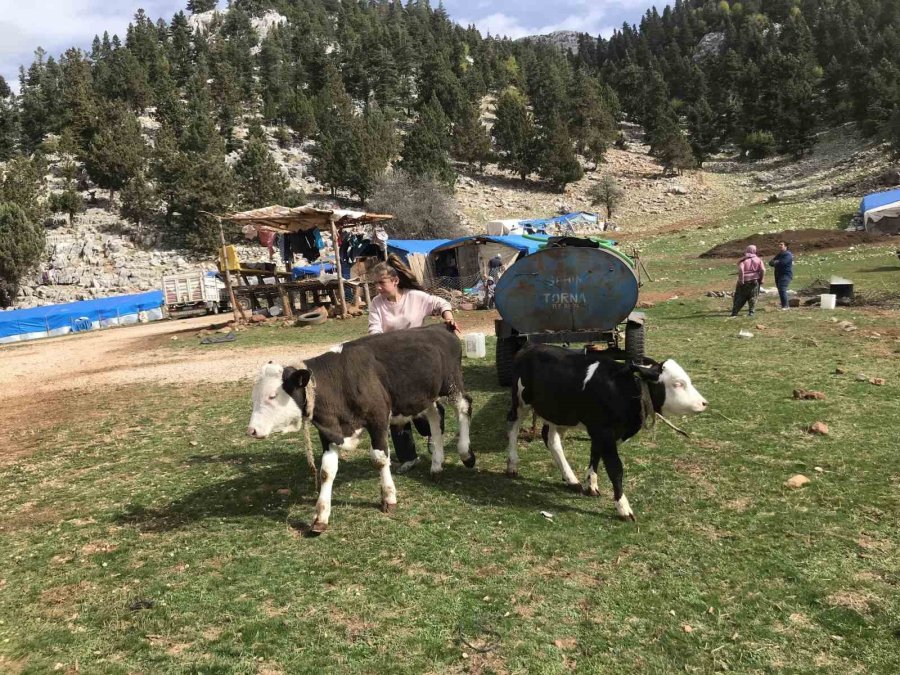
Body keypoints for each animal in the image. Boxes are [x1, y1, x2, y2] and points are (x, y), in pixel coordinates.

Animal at [244, 324, 472, 532]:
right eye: (254, 396)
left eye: (272, 395)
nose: (251, 430)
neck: (339, 380)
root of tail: (440, 326)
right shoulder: (329, 431)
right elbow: (326, 471)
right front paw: (320, 517)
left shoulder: (378, 419)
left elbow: (380, 460)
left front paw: (388, 497)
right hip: (425, 396)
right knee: (436, 416)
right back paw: (437, 466)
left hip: (452, 385)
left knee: (464, 407)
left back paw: (466, 454)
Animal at [506, 346, 712, 520]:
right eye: (677, 384)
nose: (704, 403)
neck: (626, 389)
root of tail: (530, 348)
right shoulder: (604, 432)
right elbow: (615, 468)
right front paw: (623, 507)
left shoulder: (599, 432)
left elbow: (595, 455)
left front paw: (591, 484)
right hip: (520, 402)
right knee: (513, 428)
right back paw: (512, 464)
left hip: (558, 413)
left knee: (551, 439)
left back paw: (570, 478)